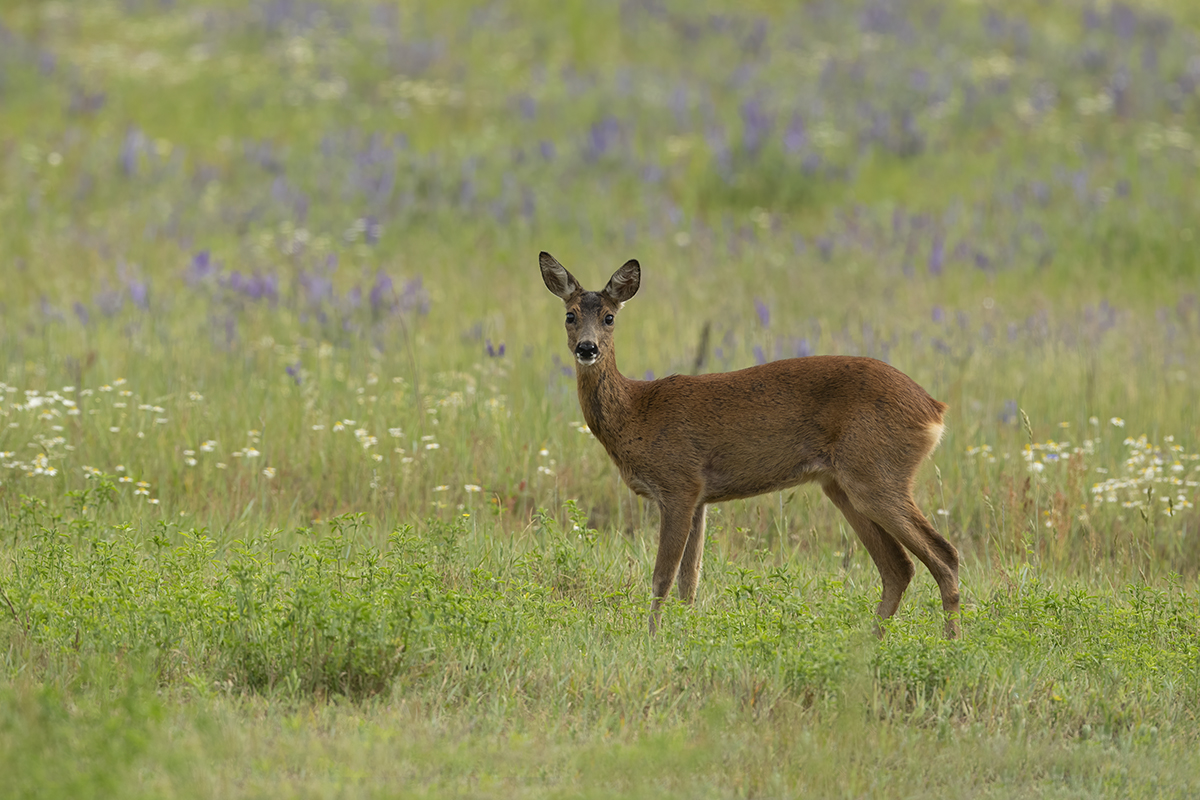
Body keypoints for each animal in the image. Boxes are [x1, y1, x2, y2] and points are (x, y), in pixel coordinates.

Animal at [539, 251, 961, 638]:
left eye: (609, 317)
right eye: (570, 315)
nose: (587, 348)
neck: (636, 411)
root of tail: (934, 409)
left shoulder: (679, 483)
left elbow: (662, 577)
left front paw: (652, 639)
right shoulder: (699, 497)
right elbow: (689, 581)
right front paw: (684, 635)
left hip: (877, 474)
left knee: (943, 554)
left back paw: (949, 642)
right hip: (843, 485)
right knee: (898, 566)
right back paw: (871, 643)